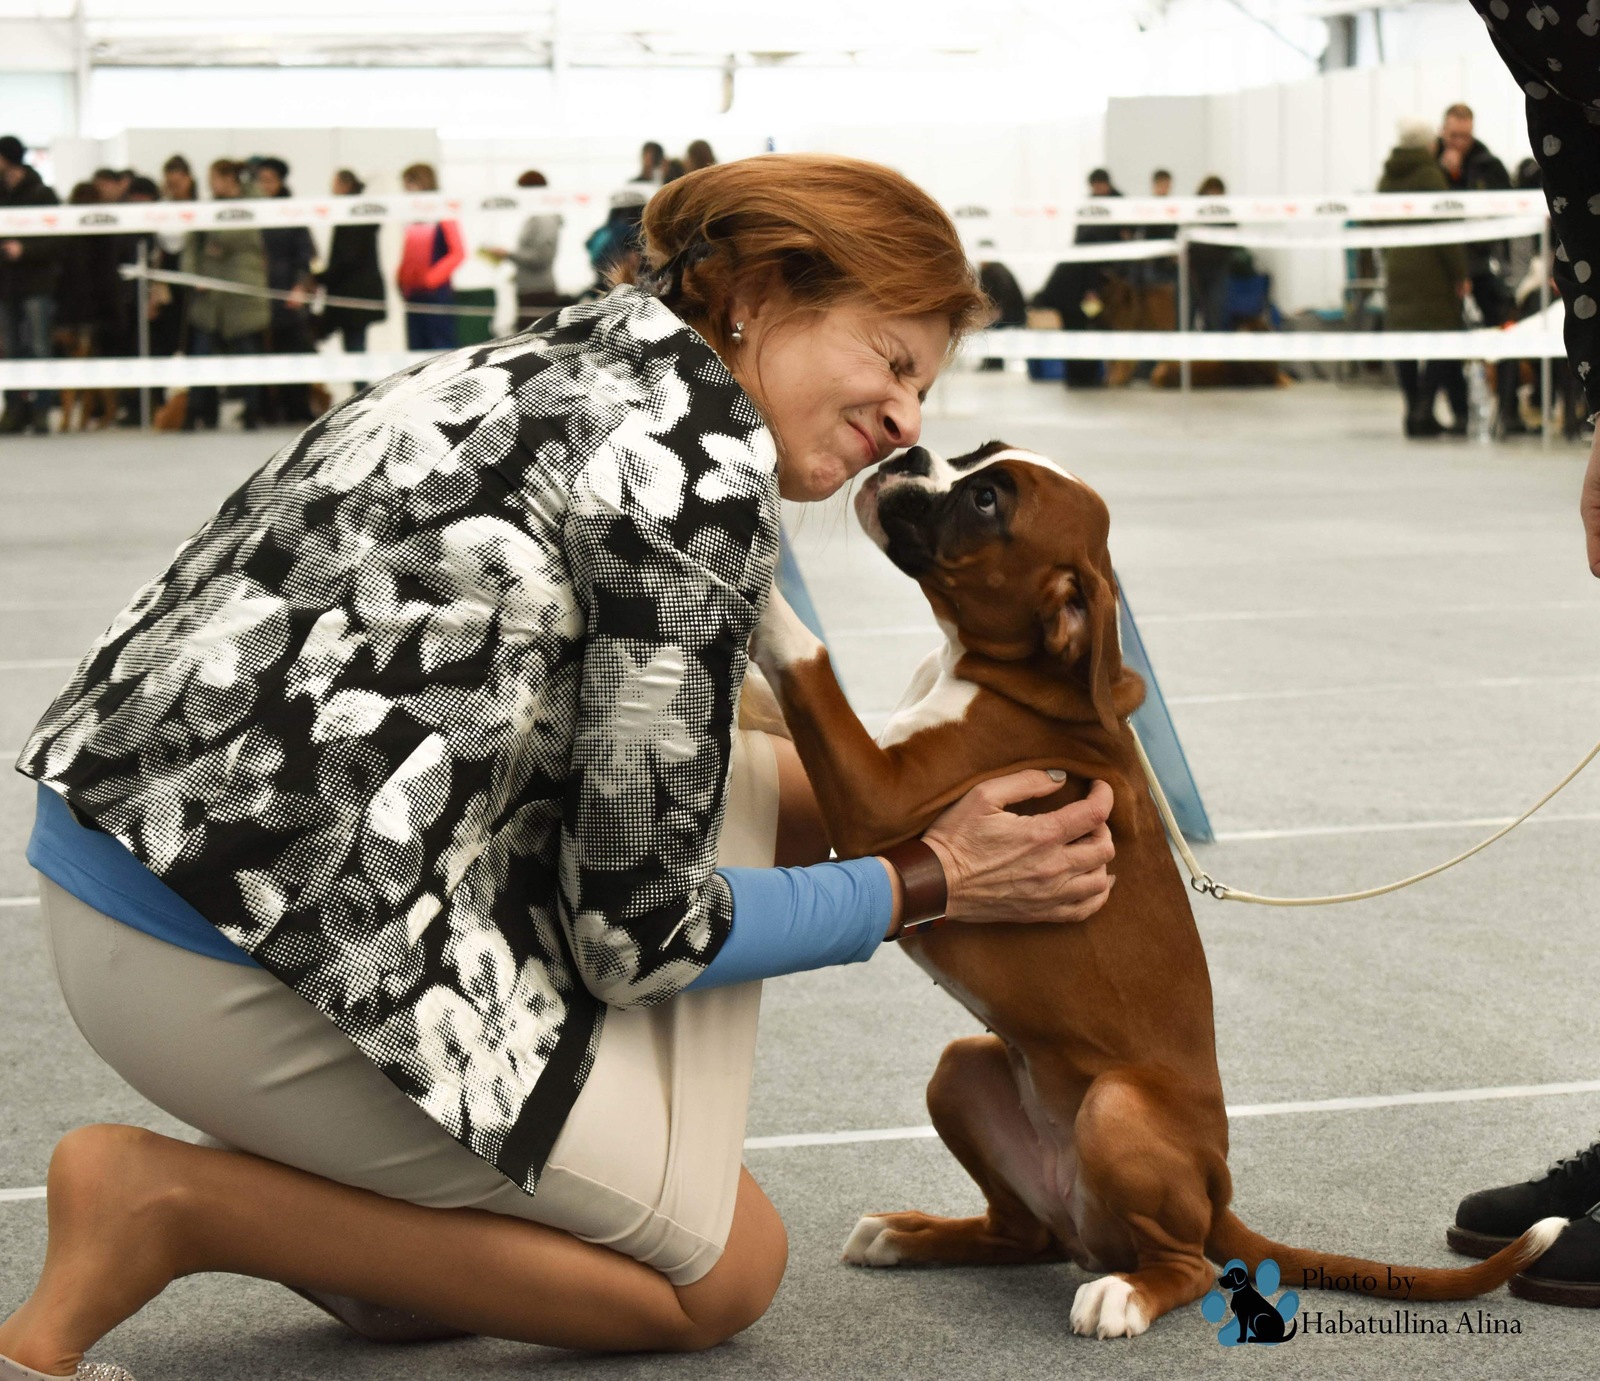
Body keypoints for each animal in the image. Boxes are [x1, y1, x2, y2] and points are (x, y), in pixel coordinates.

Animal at [752, 441, 1561, 1337]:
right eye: (972, 456)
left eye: (989, 500)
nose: (909, 450)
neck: (1008, 672)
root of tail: (1217, 1195)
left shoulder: (874, 798)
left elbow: (808, 660)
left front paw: (760, 580)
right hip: (962, 1067)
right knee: (1023, 1233)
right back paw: (908, 1233)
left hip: (1116, 1108)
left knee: (1189, 1266)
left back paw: (1123, 1296)